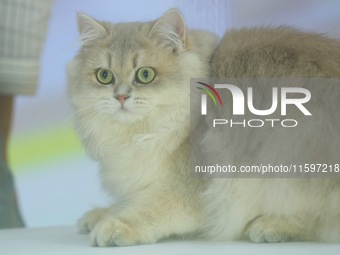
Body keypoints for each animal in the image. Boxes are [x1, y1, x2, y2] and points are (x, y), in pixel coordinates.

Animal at [67, 8, 340, 246]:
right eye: (105, 76)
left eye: (145, 74)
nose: (121, 96)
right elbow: (128, 201)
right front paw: (100, 214)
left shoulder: (193, 188)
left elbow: (148, 208)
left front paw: (115, 225)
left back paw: (272, 225)